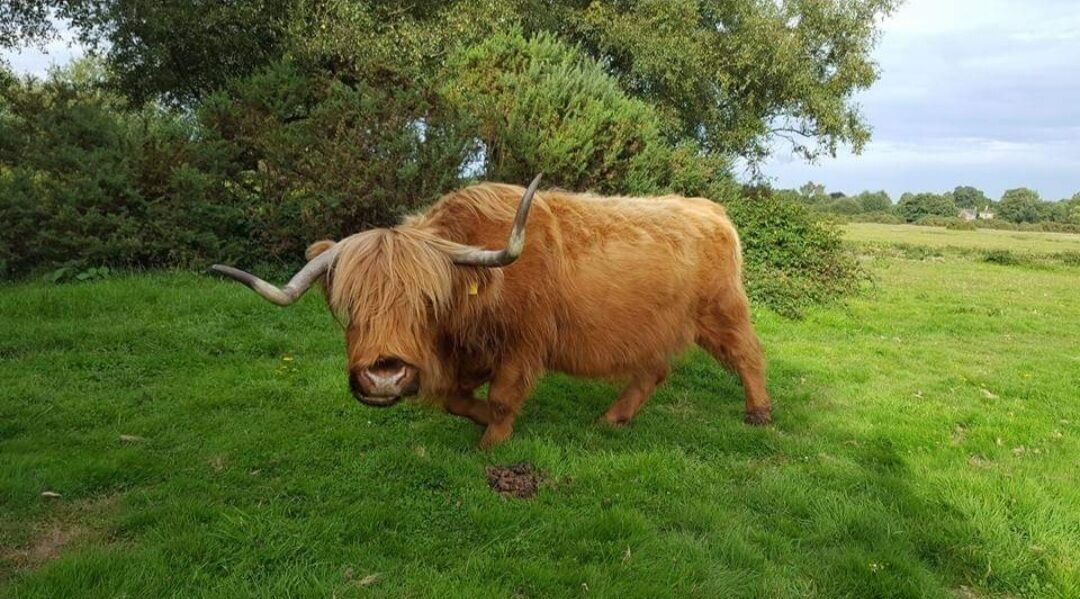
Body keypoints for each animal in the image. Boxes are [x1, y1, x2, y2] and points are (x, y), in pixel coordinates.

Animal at [211, 175, 771, 448]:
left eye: (425, 301)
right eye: (347, 305)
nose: (383, 375)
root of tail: (708, 208)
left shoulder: (523, 345)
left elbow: (501, 399)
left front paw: (492, 440)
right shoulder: (471, 354)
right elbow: (457, 400)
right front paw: (479, 420)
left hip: (721, 311)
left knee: (748, 355)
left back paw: (759, 413)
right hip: (657, 327)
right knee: (652, 370)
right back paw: (613, 417)